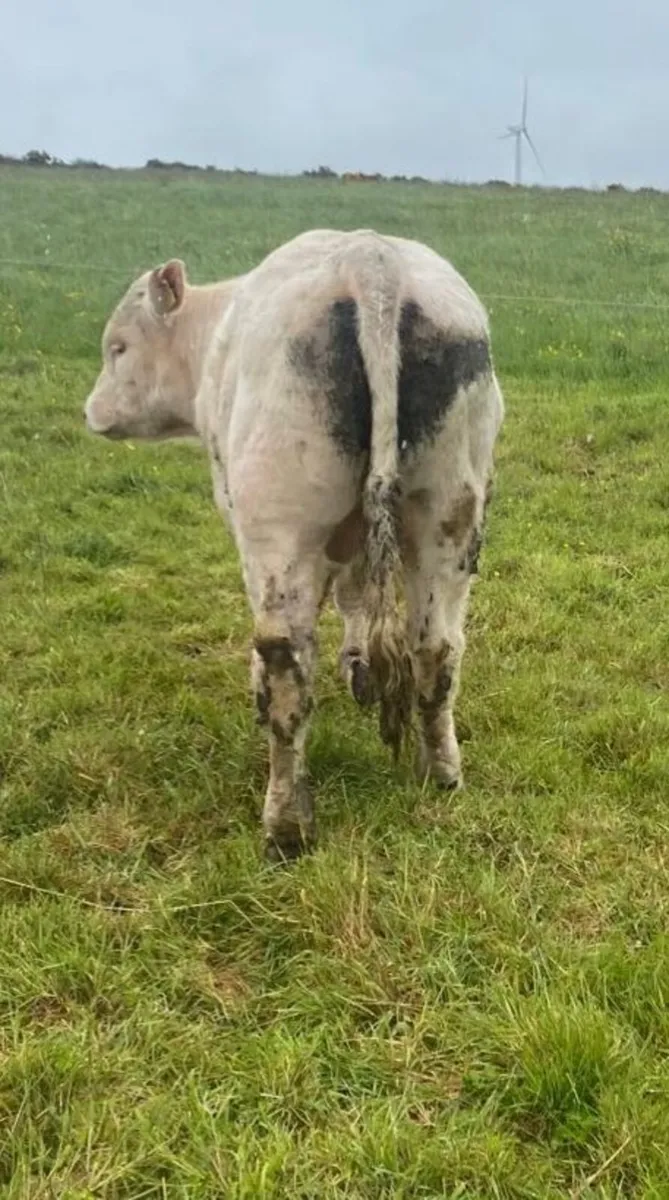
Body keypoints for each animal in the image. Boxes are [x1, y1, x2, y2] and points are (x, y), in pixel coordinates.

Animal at [84, 229, 504, 861]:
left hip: (280, 522)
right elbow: (354, 597)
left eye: (119, 347)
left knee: (285, 667)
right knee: (436, 648)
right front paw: (357, 668)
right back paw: (442, 774)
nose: (91, 411)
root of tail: (371, 259)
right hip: (449, 513)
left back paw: (286, 826)